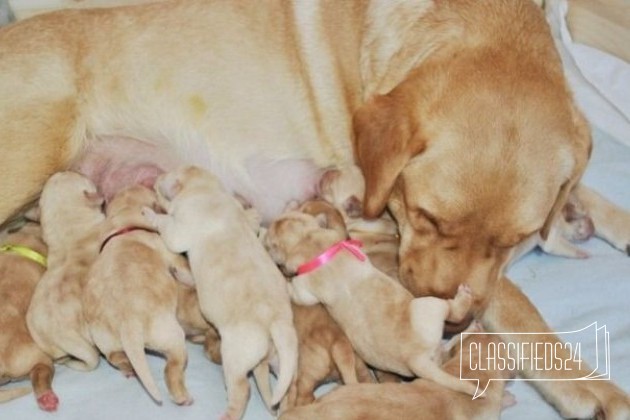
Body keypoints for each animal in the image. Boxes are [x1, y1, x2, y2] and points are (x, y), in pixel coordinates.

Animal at [84, 185, 193, 406]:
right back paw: (182, 397)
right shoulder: (169, 253)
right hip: (171, 335)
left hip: (106, 341)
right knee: (172, 367)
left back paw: (128, 368)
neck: (125, 222)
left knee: (115, 357)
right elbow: (184, 269)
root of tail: (129, 324)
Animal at [144, 166, 300, 418]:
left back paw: (228, 414)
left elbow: (168, 226)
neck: (207, 190)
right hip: (283, 356)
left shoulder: (180, 229)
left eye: (168, 175)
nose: (155, 178)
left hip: (236, 354)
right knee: (289, 384)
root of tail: (274, 322)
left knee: (243, 389)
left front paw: (152, 211)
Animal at [266, 210, 478, 398]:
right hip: (427, 319)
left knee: (453, 312)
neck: (310, 241)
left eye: (269, 243)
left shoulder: (305, 288)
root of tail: (417, 357)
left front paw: (285, 282)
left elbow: (297, 293)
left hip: (426, 306)